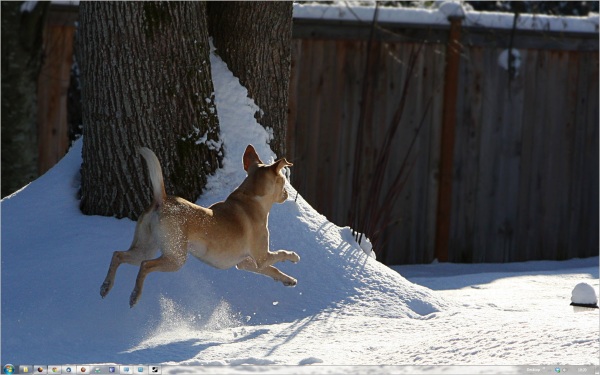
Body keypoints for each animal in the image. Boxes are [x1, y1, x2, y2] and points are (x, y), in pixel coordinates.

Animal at [102, 145, 304, 306]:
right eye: (283, 180)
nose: (287, 193)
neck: (251, 197)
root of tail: (162, 200)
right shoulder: (262, 257)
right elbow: (280, 255)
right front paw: (294, 257)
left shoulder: (246, 263)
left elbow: (272, 270)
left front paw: (289, 280)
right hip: (175, 258)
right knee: (145, 266)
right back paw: (135, 295)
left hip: (145, 247)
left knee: (118, 255)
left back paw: (106, 286)